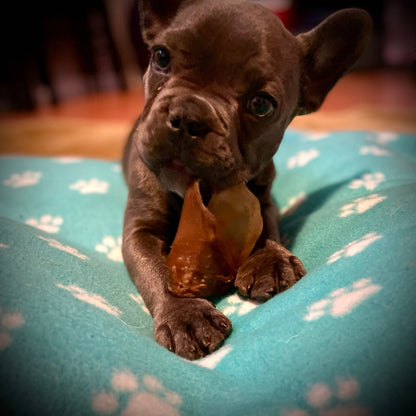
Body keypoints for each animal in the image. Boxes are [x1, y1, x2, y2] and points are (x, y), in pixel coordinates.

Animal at [122, 0, 372, 360]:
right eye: (161, 56)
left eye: (261, 105)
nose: (188, 115)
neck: (200, 194)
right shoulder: (140, 231)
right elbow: (157, 269)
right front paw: (185, 315)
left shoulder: (263, 198)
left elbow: (266, 226)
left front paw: (270, 260)